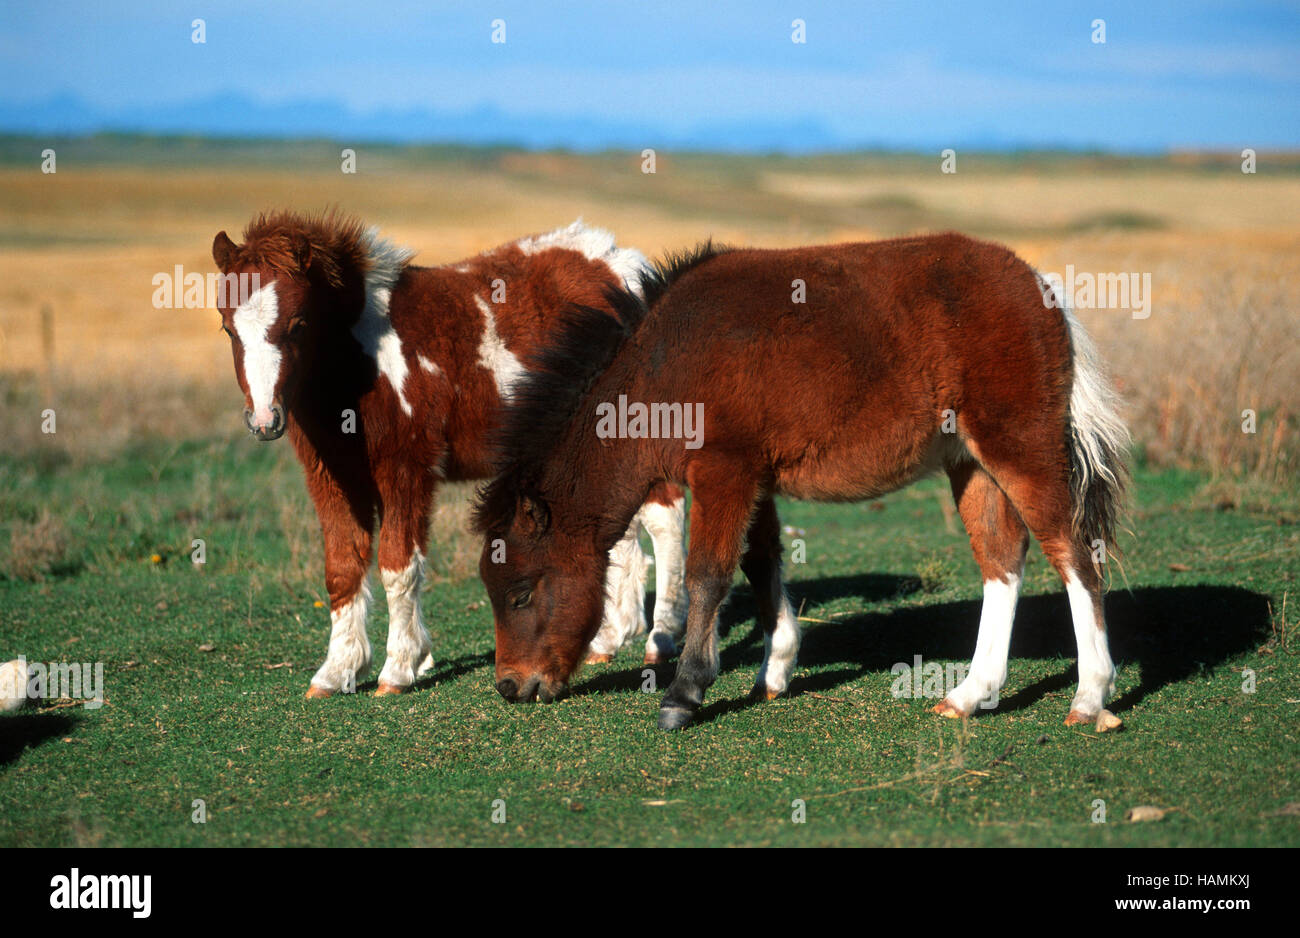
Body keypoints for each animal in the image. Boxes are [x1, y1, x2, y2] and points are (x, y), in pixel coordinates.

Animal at [210, 211, 688, 698]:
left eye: (298, 324)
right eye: (228, 327)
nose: (264, 420)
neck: (362, 360)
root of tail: (626, 263)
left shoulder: (405, 469)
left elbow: (397, 565)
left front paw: (399, 669)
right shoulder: (331, 475)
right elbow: (342, 566)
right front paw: (336, 671)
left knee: (664, 520)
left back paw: (660, 639)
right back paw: (607, 641)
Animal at [473, 231, 1130, 731]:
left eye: (521, 592)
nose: (511, 685)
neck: (669, 366)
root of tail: (1041, 287)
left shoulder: (722, 470)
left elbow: (708, 574)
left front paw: (685, 694)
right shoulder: (752, 475)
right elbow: (760, 561)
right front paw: (776, 669)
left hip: (1019, 448)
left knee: (1073, 553)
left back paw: (1090, 697)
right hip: (969, 463)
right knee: (1002, 559)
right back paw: (971, 694)